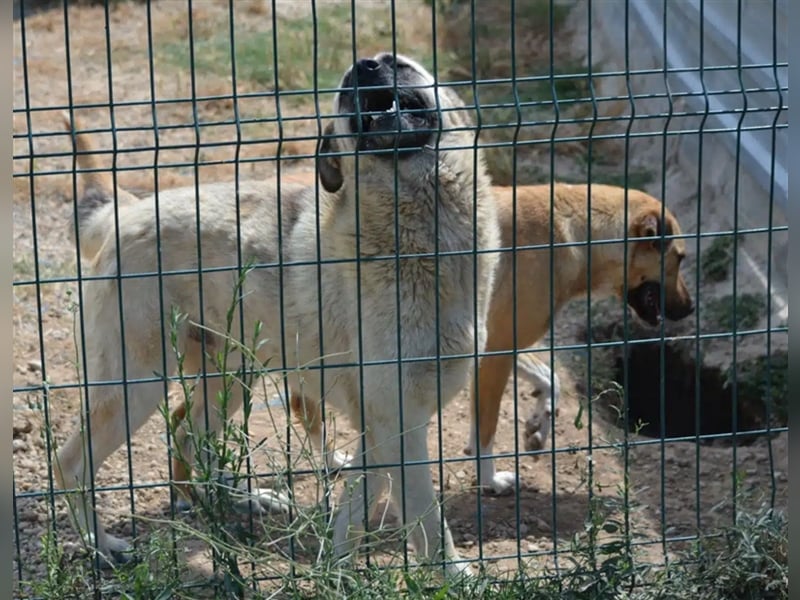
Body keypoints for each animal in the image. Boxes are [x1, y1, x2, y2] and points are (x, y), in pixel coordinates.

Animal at [59, 54, 500, 580]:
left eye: (397, 63)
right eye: (344, 92)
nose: (363, 68)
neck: (422, 236)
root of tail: (126, 211)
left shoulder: (384, 425)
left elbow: (358, 499)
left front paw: (337, 567)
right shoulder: (398, 422)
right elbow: (426, 515)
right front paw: (456, 577)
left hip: (233, 374)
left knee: (188, 435)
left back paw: (238, 500)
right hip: (138, 383)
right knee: (72, 461)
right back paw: (100, 544)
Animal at [466, 185, 696, 494]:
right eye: (680, 258)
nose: (691, 307)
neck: (573, 234)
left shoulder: (501, 344)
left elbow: (551, 377)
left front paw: (540, 422)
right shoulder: (496, 350)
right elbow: (485, 430)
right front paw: (490, 480)